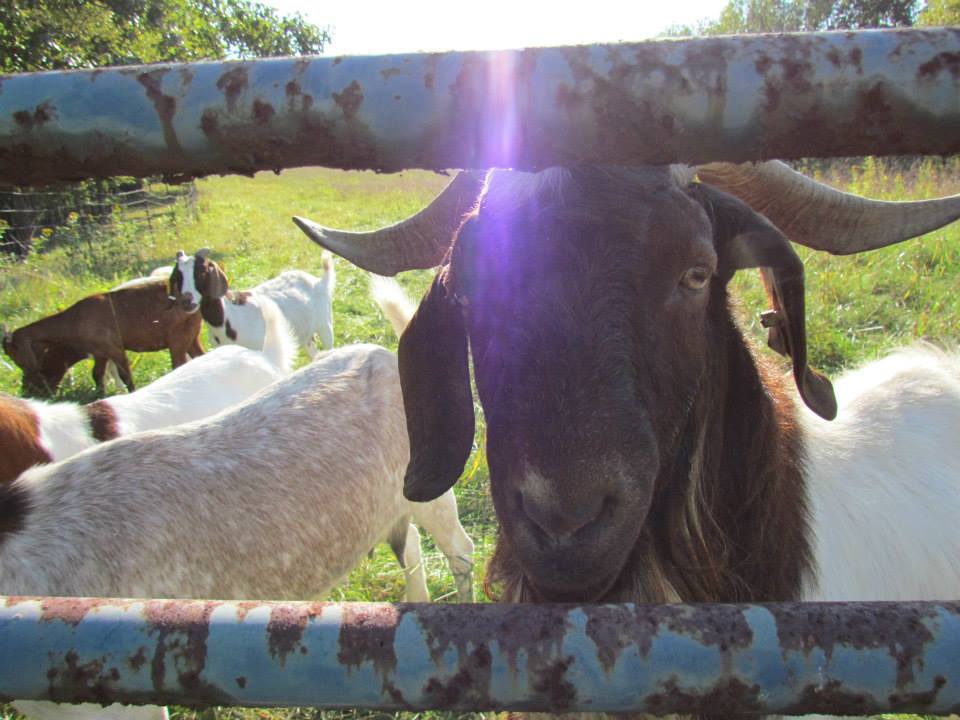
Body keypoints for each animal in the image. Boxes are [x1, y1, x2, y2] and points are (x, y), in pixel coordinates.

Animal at [3, 280, 202, 394]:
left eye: (13, 353)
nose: (26, 391)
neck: (73, 321)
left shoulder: (114, 348)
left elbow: (125, 375)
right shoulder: (100, 352)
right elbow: (97, 375)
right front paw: (99, 395)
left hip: (177, 338)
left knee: (179, 364)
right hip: (192, 336)